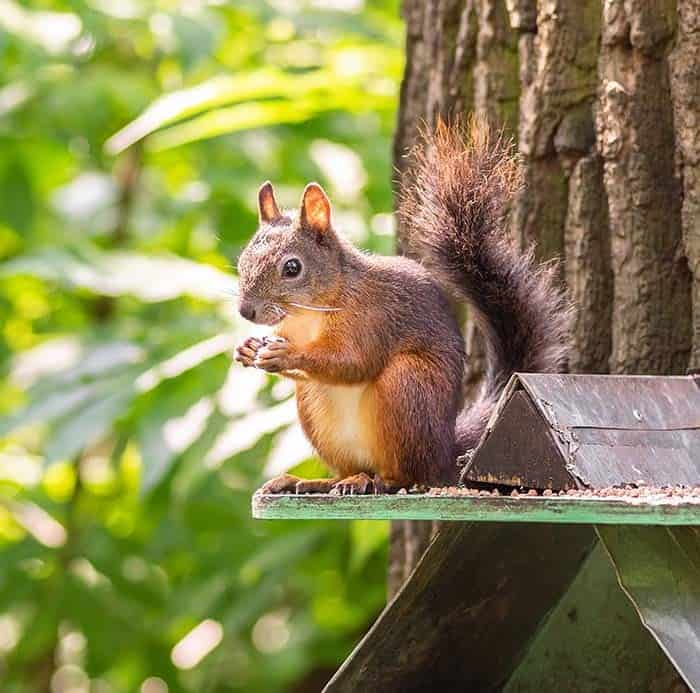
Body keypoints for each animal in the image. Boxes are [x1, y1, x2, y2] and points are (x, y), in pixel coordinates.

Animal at [235, 120, 568, 498]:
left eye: (292, 268)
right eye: (243, 259)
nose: (246, 311)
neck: (310, 313)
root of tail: (445, 453)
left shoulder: (373, 319)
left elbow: (353, 362)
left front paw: (285, 355)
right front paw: (248, 348)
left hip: (407, 385)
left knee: (406, 475)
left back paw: (375, 481)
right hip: (314, 407)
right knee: (349, 468)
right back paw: (314, 481)